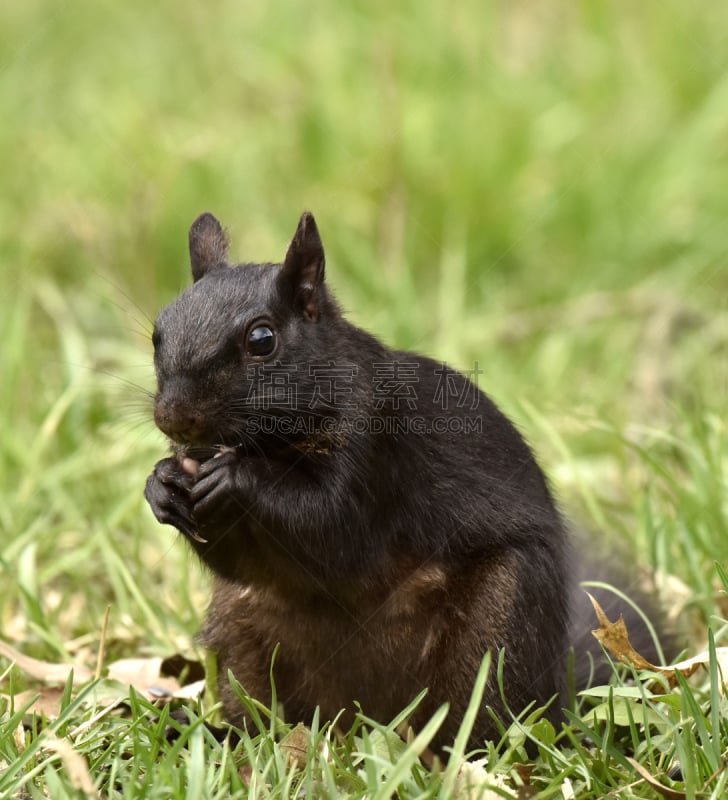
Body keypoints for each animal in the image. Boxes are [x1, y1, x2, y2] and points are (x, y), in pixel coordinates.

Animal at [144, 212, 664, 752]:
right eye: (157, 334)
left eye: (262, 340)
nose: (172, 417)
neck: (269, 443)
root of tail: (356, 720)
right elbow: (240, 560)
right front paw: (161, 485)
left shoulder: (376, 445)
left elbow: (331, 530)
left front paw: (236, 477)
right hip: (241, 633)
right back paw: (218, 734)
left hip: (498, 625)